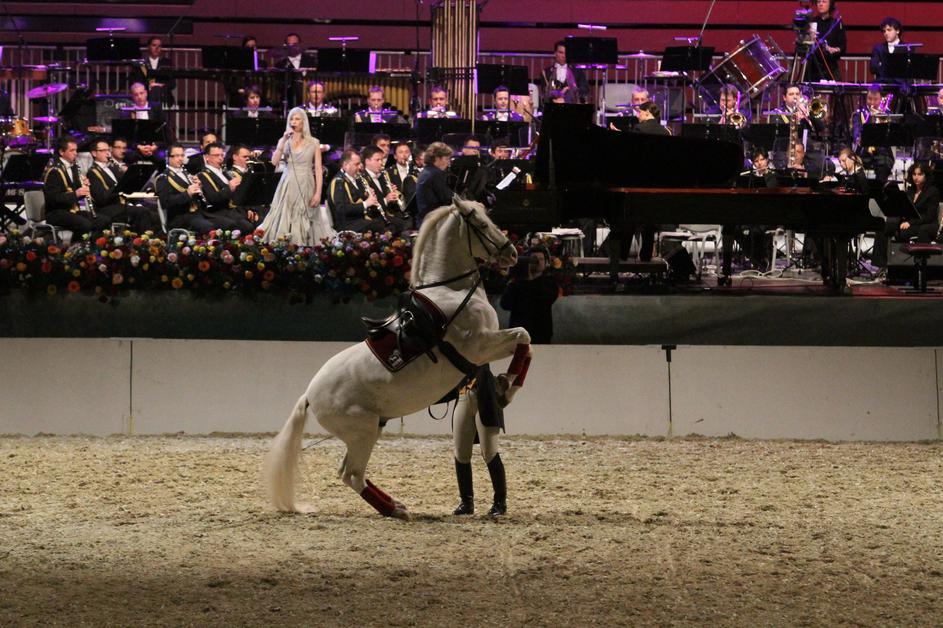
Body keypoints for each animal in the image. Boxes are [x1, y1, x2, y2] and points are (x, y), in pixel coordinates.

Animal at [262, 196, 532, 519]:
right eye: (480, 223)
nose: (512, 253)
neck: (451, 293)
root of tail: (310, 395)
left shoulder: (485, 347)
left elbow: (524, 339)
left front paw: (504, 383)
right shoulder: (480, 346)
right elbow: (524, 336)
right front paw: (508, 385)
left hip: (370, 428)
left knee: (349, 472)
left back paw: (396, 506)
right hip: (363, 432)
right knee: (351, 474)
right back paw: (396, 509)